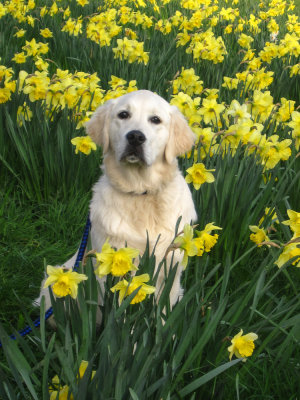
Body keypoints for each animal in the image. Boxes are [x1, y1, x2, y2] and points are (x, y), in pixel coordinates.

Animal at [37, 90, 197, 310]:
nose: (136, 136)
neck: (141, 193)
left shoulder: (171, 268)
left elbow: (164, 312)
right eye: (123, 115)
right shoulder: (109, 267)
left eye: (155, 119)